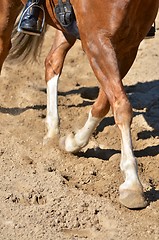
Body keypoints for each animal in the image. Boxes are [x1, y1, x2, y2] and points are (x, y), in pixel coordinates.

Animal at [0, 0, 158, 208]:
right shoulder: (96, 41)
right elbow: (122, 106)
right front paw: (132, 183)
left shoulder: (127, 47)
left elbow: (105, 104)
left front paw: (72, 142)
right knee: (3, 47)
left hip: (65, 28)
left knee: (52, 60)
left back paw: (52, 132)